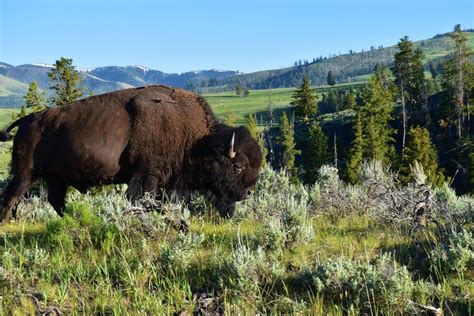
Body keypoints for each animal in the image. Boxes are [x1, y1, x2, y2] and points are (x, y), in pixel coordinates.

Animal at [0, 84, 262, 222]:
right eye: (237, 166)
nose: (248, 193)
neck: (199, 141)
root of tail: (27, 119)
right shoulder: (145, 175)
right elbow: (139, 201)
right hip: (25, 173)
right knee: (11, 196)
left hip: (55, 178)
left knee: (55, 200)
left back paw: (75, 219)